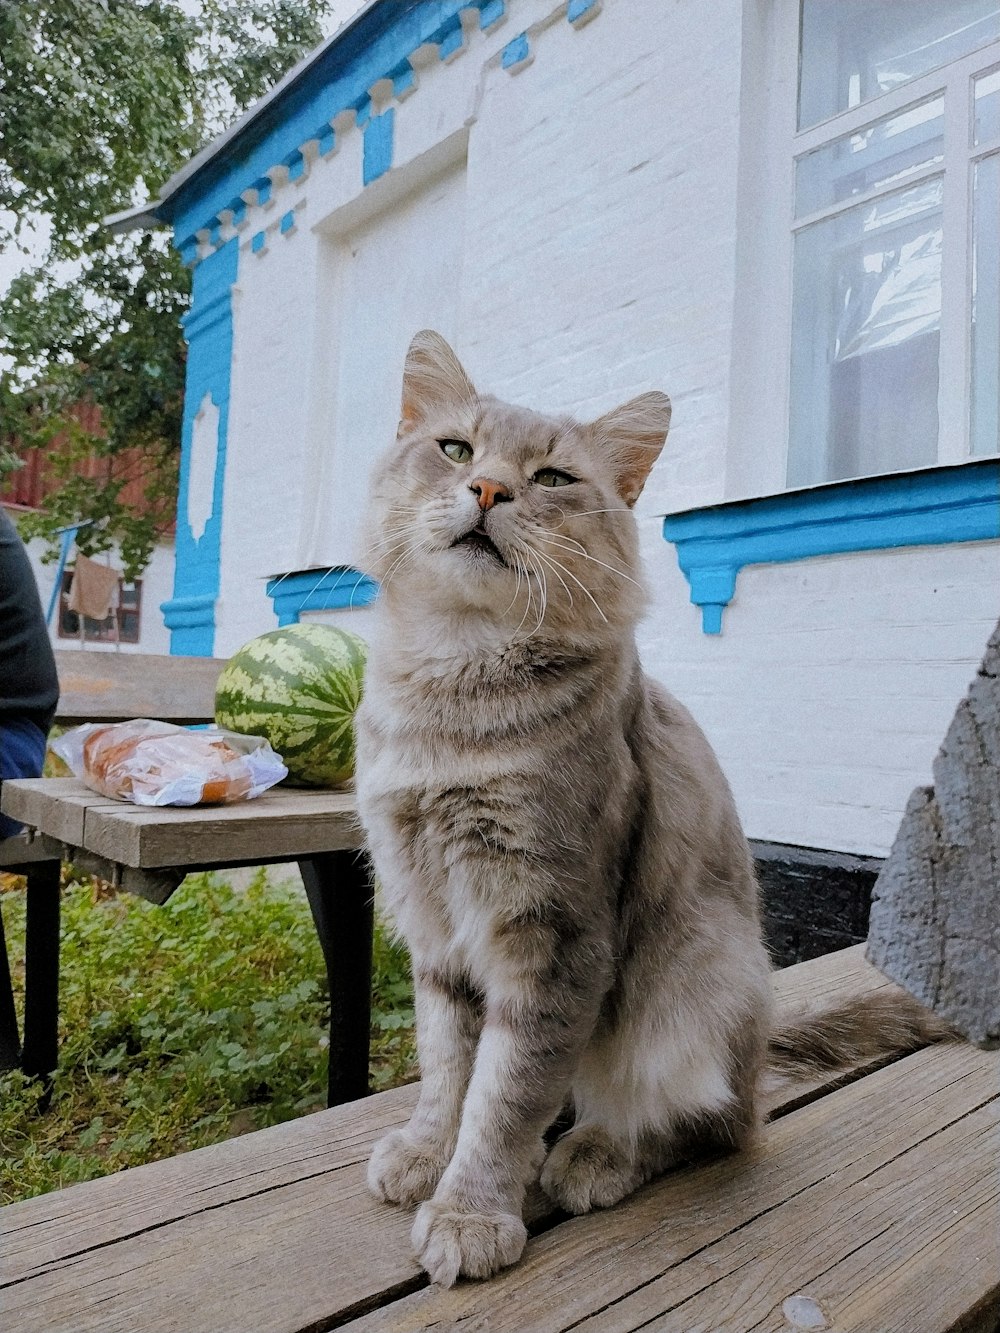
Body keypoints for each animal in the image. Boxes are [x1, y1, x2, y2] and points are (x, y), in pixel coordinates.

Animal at [354, 327, 949, 1285]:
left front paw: (471, 1209)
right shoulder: (434, 924)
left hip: (699, 972)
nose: (487, 490)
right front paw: (424, 1149)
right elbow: (447, 1065)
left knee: (715, 1124)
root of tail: (761, 1042)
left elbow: (505, 1093)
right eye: (455, 450)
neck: (452, 690)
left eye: (552, 477)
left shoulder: (553, 933)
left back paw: (596, 1153)